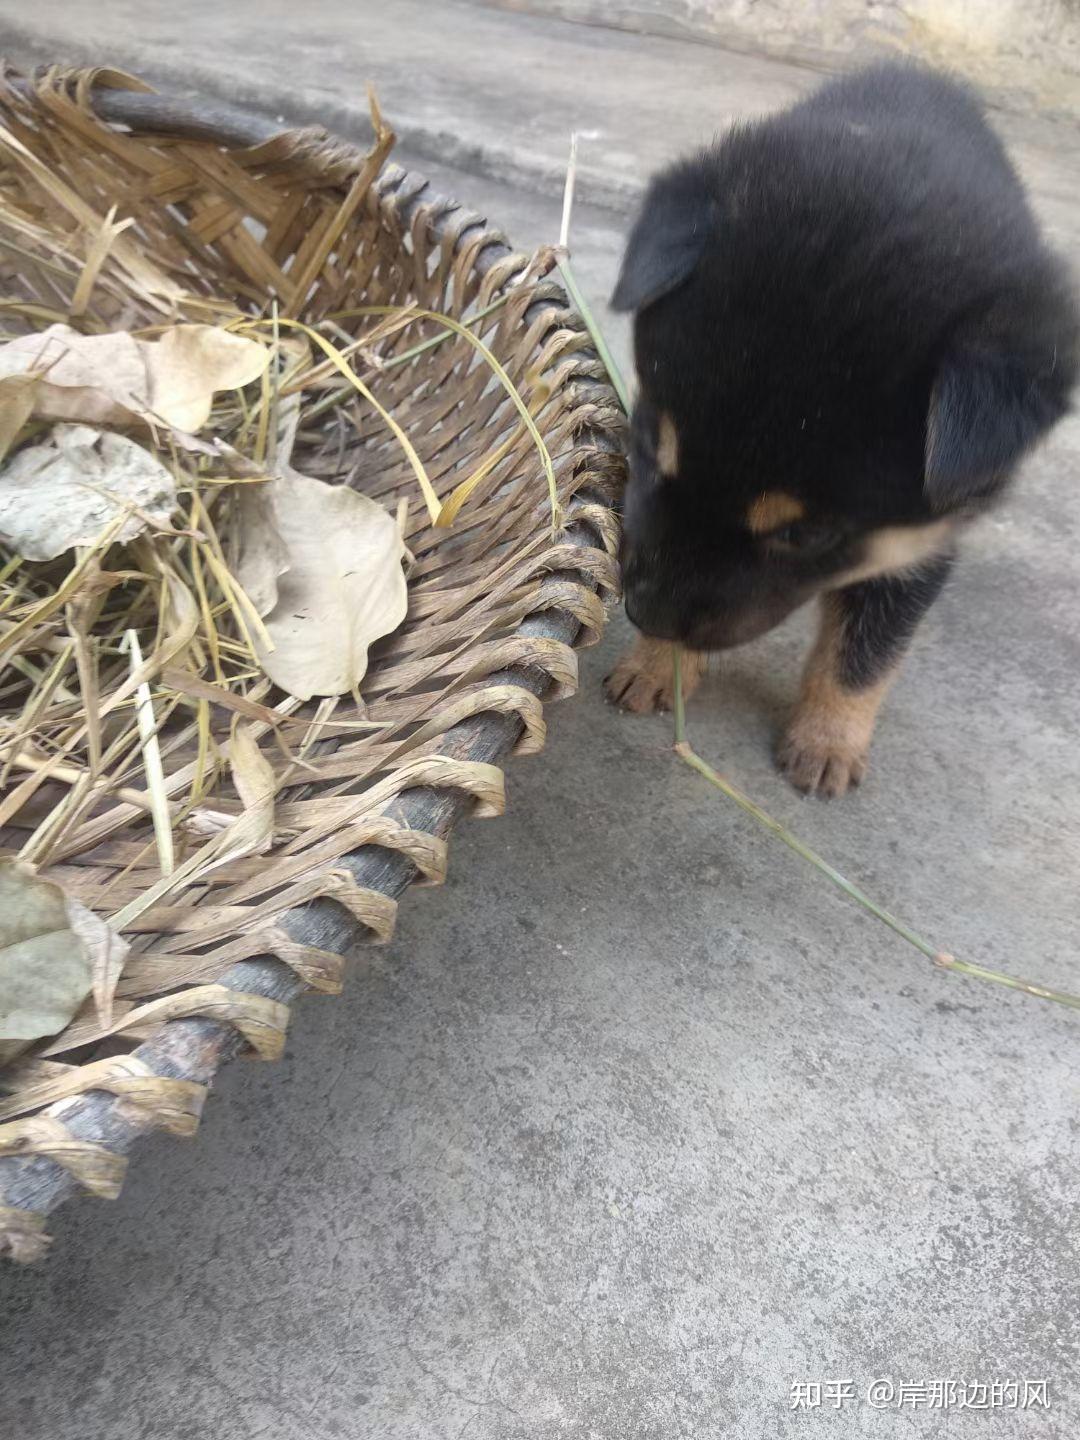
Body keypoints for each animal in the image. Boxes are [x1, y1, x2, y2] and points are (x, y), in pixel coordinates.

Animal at [604, 59, 1077, 800]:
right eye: (651, 444)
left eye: (806, 535)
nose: (644, 615)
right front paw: (654, 666)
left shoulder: (920, 543)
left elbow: (866, 650)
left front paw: (827, 743)